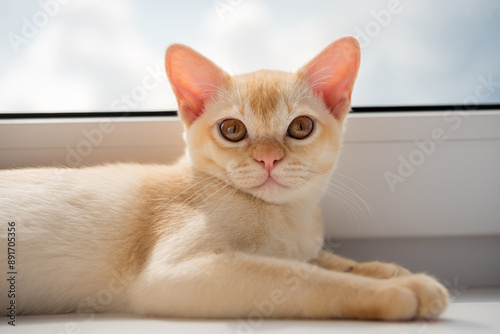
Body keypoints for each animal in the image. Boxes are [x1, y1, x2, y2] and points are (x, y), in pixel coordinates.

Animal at [0, 37, 448, 320]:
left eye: (301, 127)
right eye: (232, 130)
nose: (268, 158)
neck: (289, 217)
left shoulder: (299, 244)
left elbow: (324, 261)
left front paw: (391, 272)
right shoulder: (176, 272)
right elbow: (302, 274)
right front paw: (397, 290)